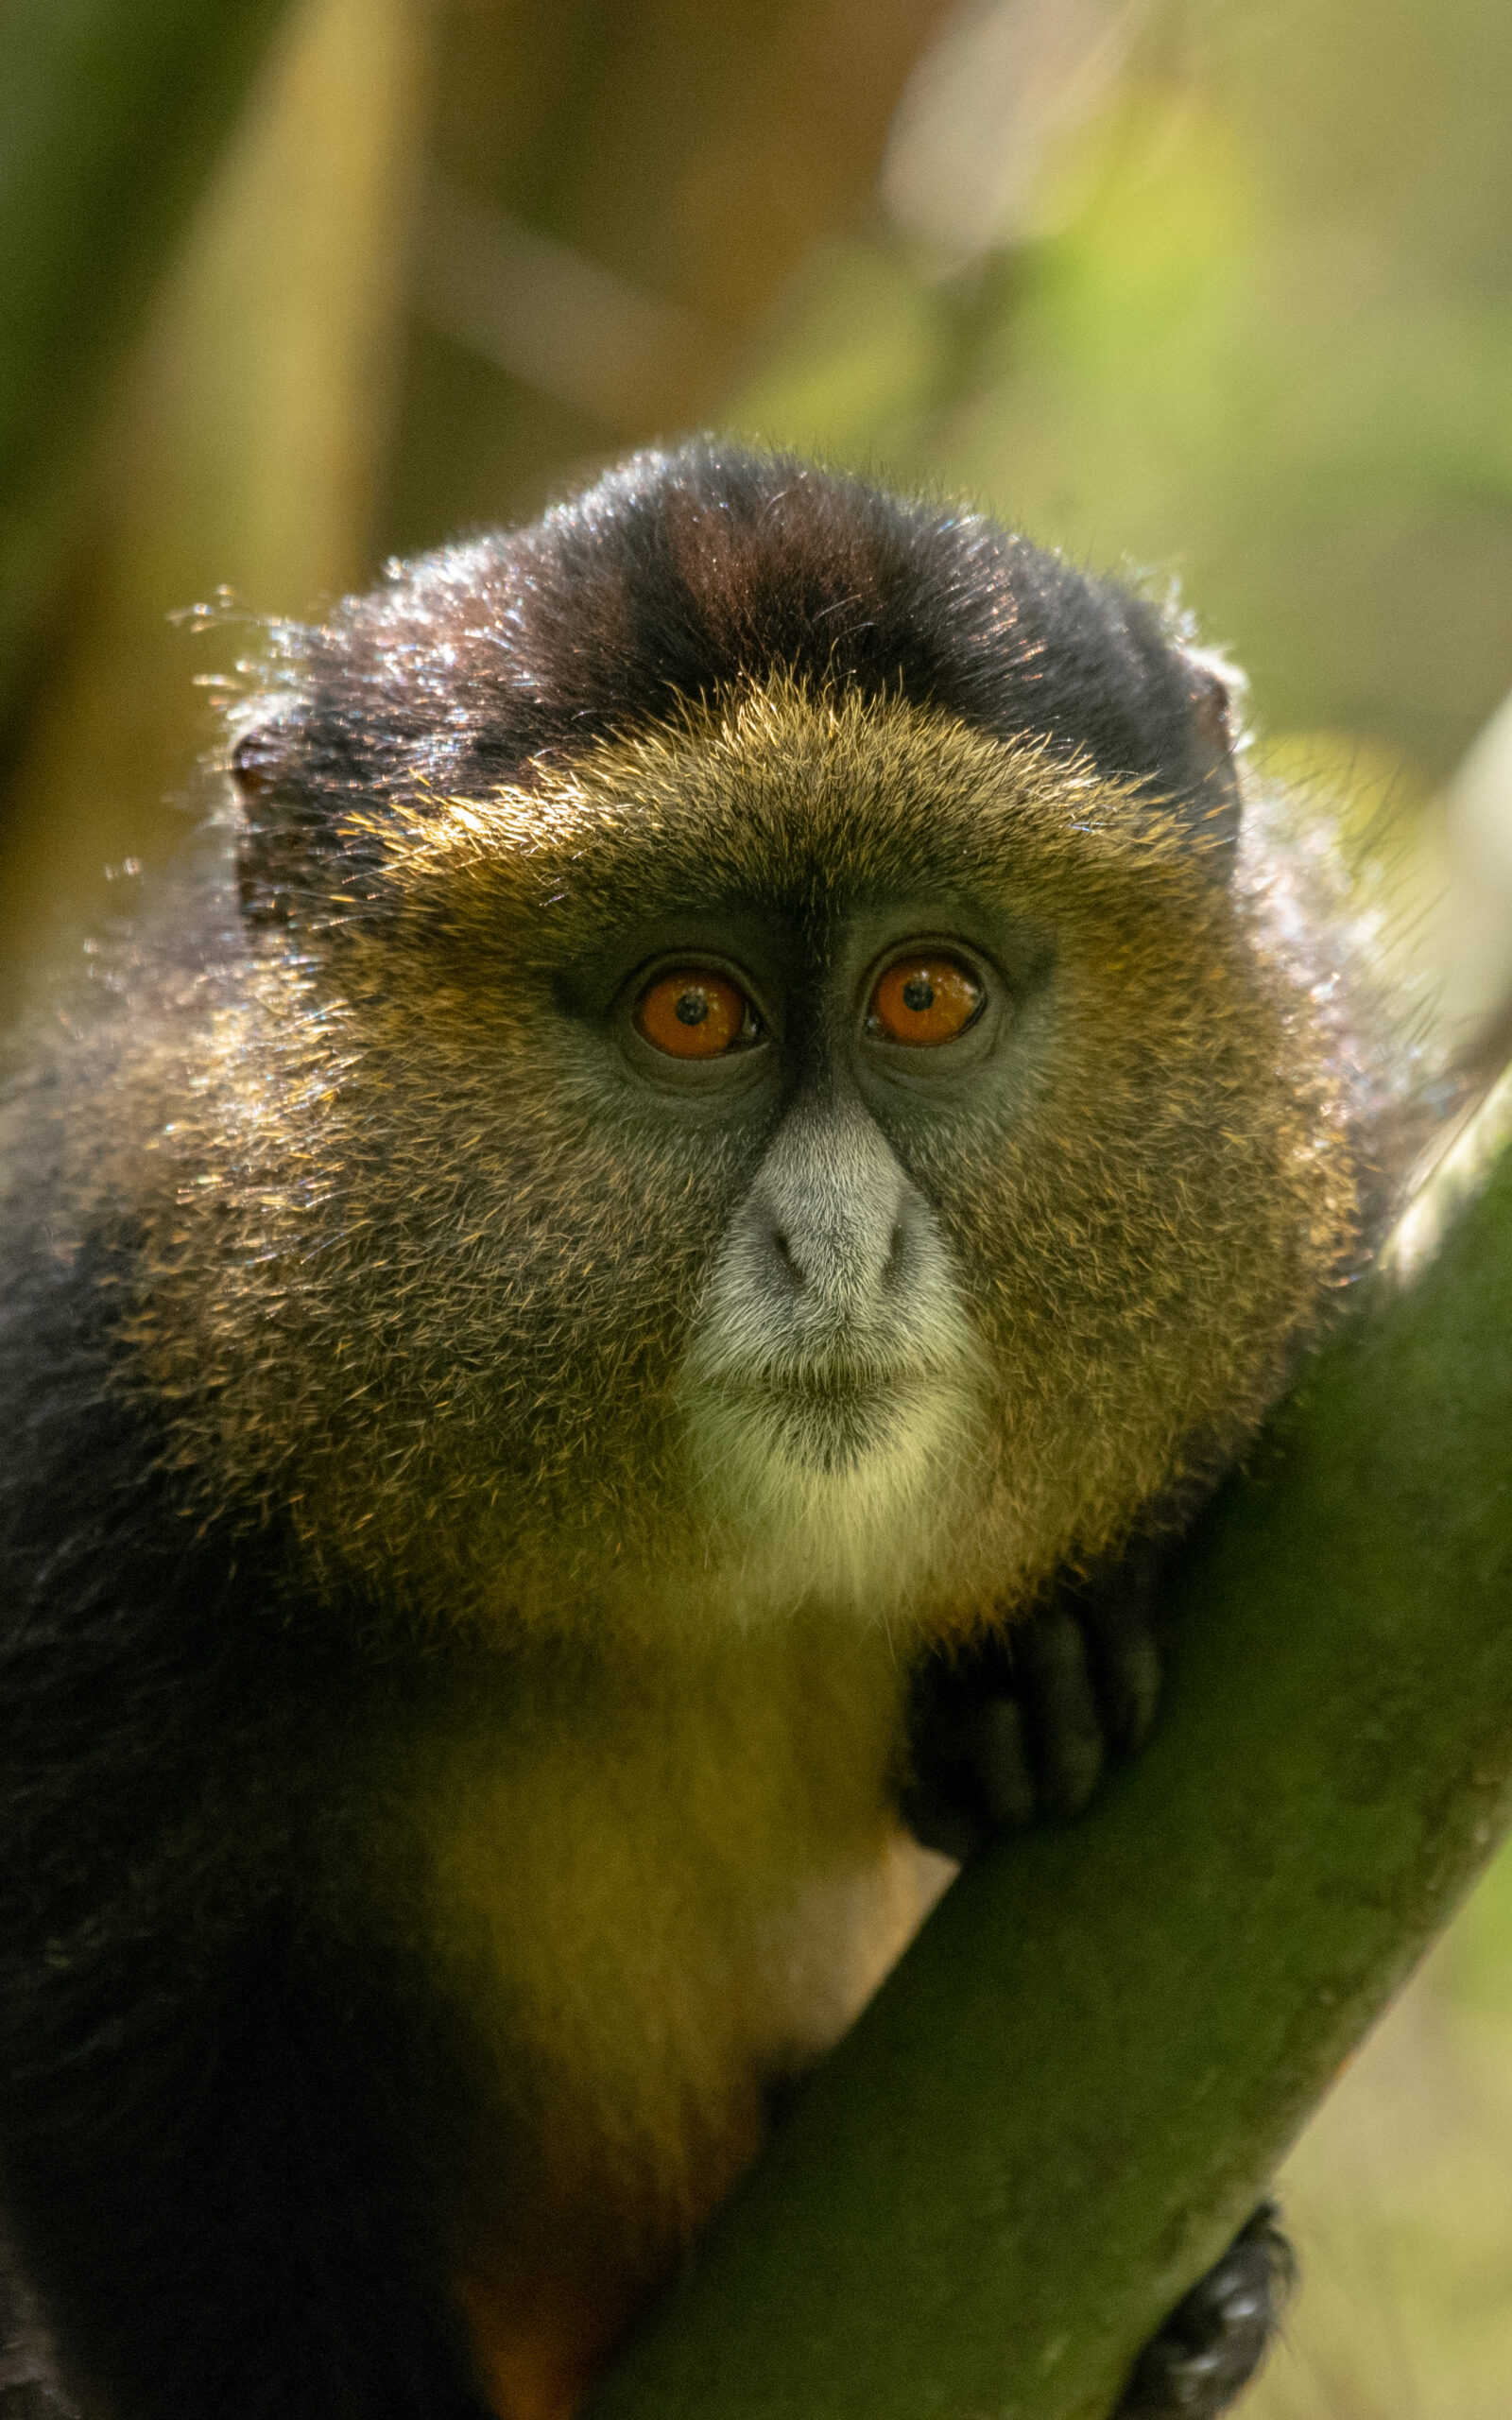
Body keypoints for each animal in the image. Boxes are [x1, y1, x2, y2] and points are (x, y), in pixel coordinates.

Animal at [0, 440, 1405, 2420]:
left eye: (926, 994)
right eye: (693, 1012)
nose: (837, 1244)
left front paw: (1048, 1644)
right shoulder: (93, 1411)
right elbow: (146, 2093)